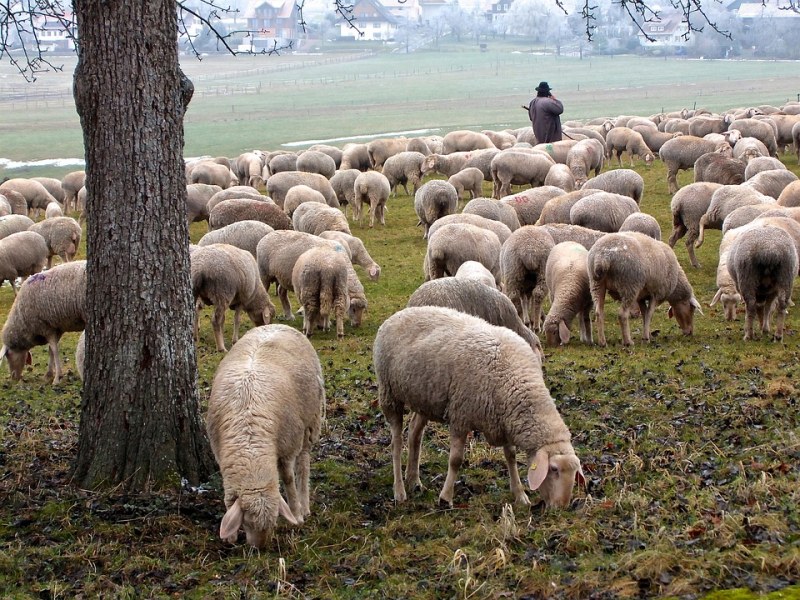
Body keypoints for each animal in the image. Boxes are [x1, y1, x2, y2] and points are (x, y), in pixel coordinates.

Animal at [206, 324, 324, 548]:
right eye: (247, 522)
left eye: (274, 520)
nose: (260, 548)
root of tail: (276, 324)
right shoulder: (220, 452)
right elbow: (228, 496)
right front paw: (230, 537)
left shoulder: (288, 446)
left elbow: (288, 479)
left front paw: (296, 514)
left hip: (309, 420)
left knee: (303, 464)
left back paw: (304, 505)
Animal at [372, 308, 584, 508]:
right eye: (554, 470)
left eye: (574, 472)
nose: (561, 506)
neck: (515, 379)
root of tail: (398, 314)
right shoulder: (460, 416)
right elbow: (455, 460)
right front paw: (446, 498)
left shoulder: (504, 419)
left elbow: (511, 456)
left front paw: (520, 495)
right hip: (389, 394)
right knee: (396, 443)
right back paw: (400, 491)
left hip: (424, 398)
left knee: (414, 433)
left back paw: (413, 480)